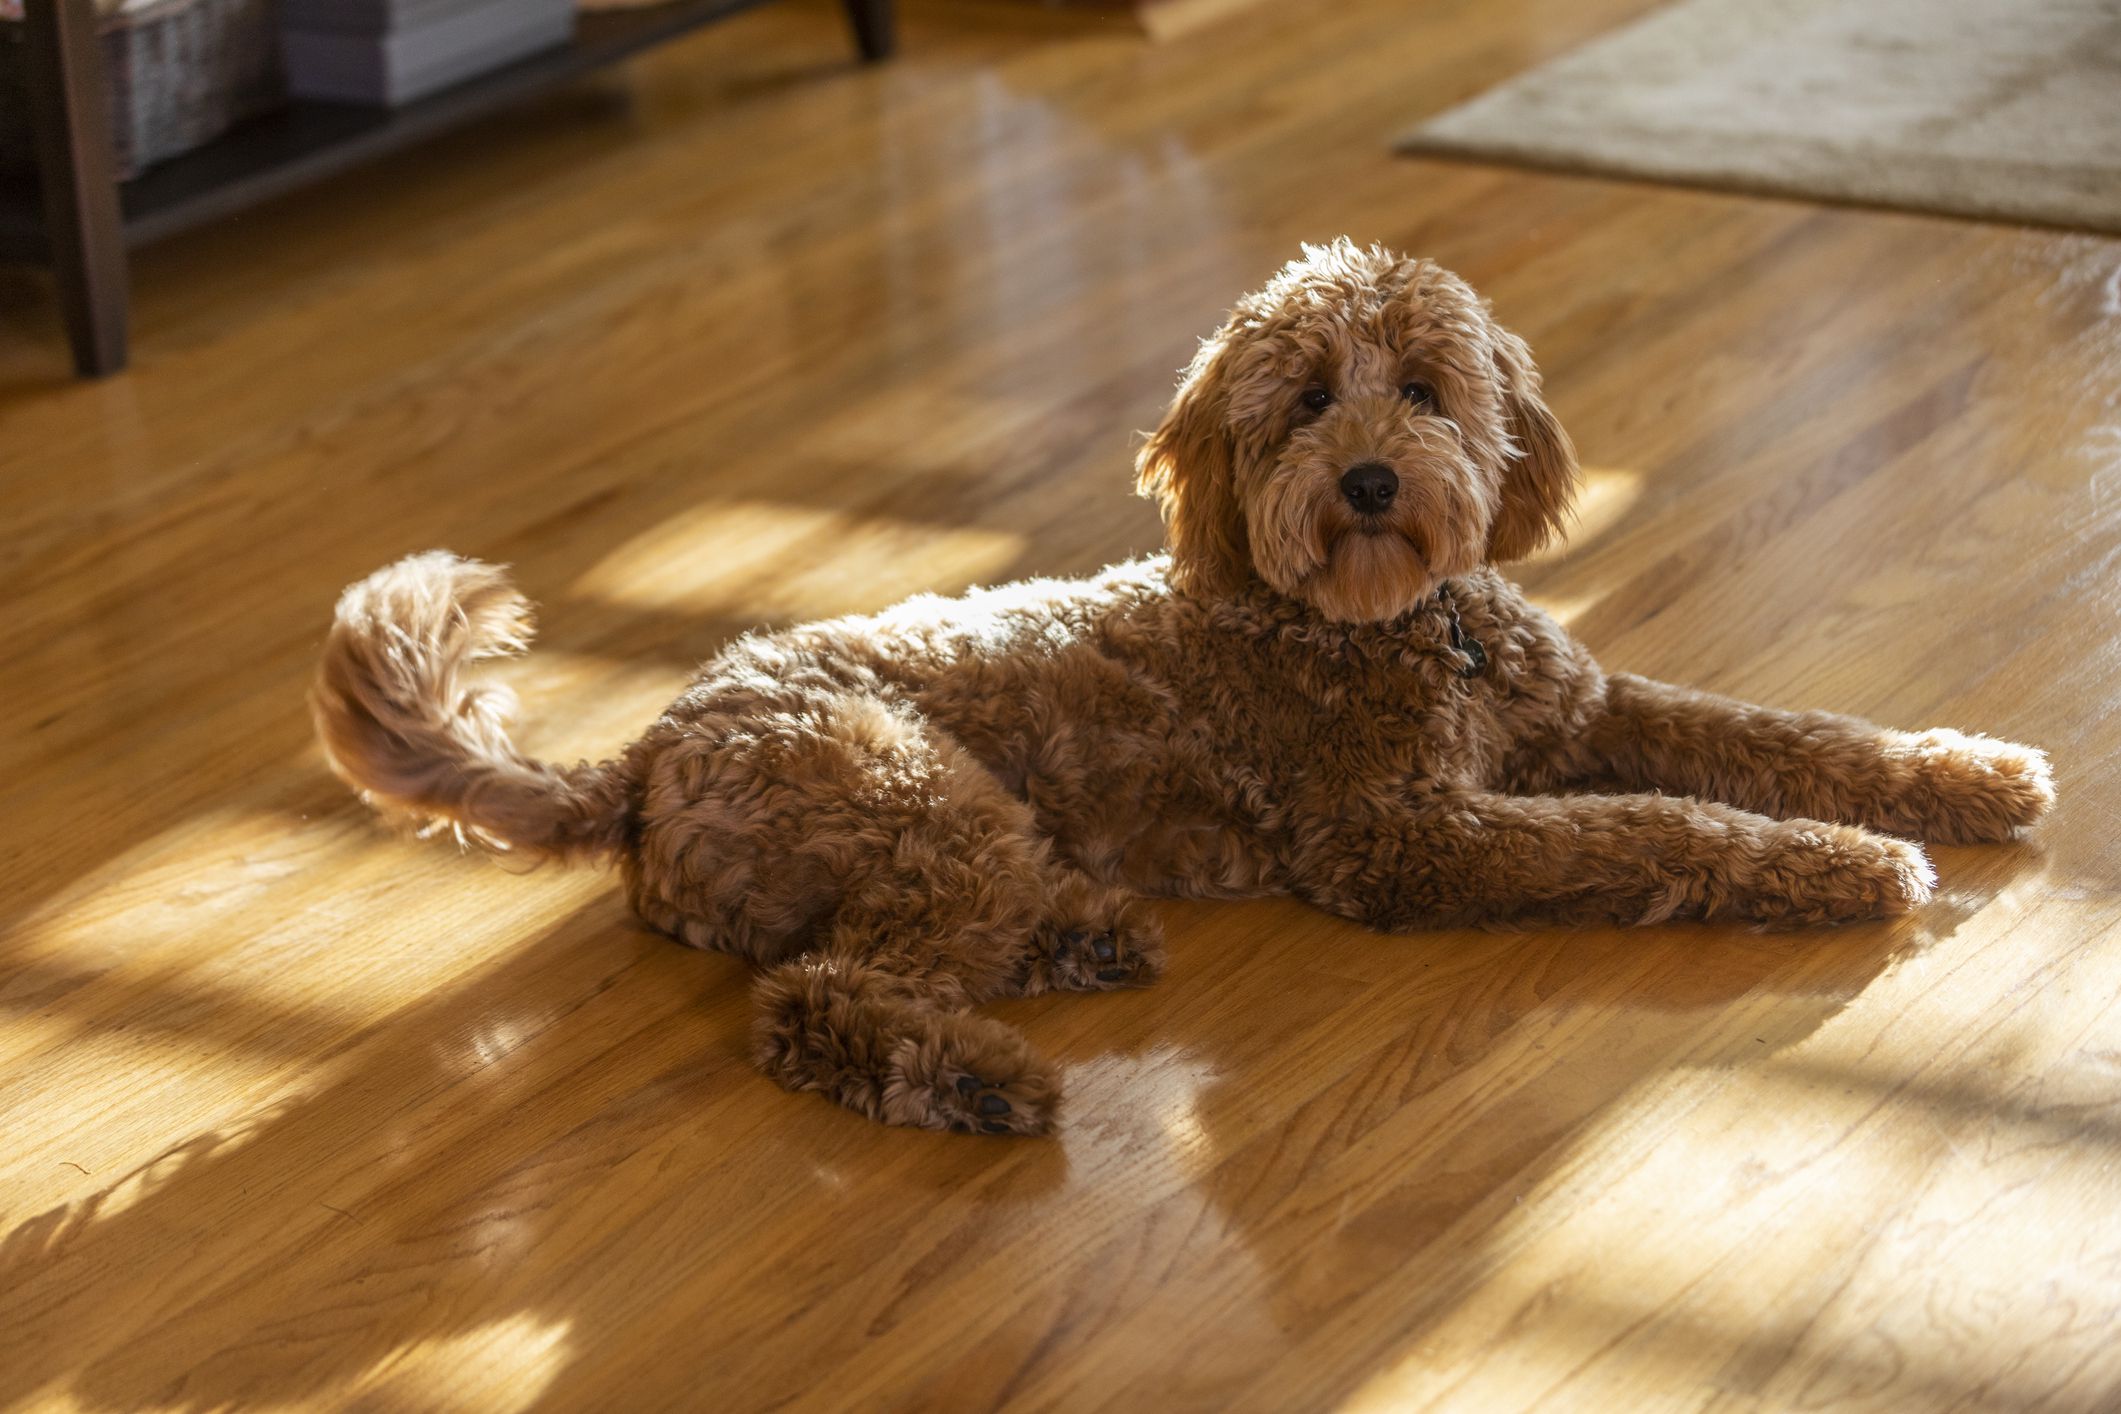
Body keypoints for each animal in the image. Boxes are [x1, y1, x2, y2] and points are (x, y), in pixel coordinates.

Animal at [313, 237, 2053, 1136]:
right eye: (1303, 401)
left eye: (1427, 389)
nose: (1365, 480)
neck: (1395, 626)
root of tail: (648, 751)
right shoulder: (1404, 834)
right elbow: (1661, 831)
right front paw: (1847, 868)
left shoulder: (1582, 708)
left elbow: (1782, 732)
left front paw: (1961, 777)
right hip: (917, 801)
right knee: (820, 1000)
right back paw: (985, 1076)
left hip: (952, 839)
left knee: (884, 958)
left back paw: (1077, 939)